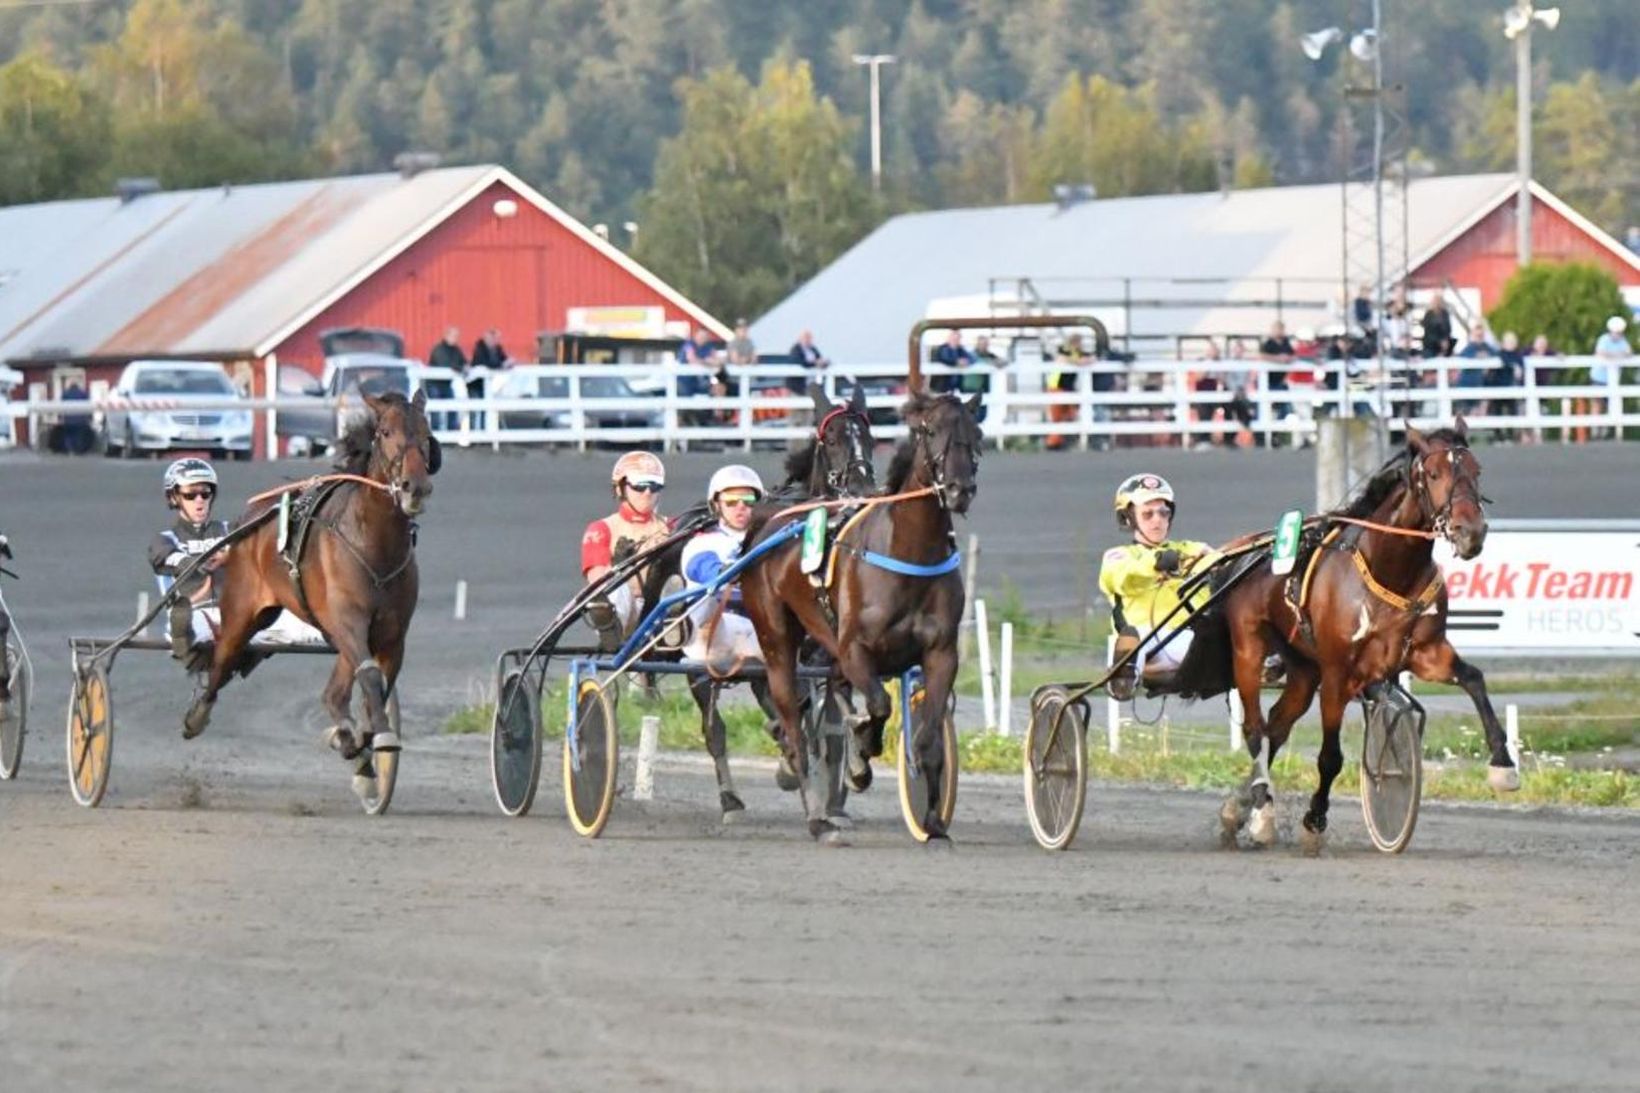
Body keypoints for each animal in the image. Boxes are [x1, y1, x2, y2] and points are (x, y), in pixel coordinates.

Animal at [182, 387, 439, 797]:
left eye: (427, 434)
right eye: (385, 432)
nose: (415, 487)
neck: (373, 544)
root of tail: (252, 516)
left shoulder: (390, 635)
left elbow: (375, 689)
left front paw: (361, 746)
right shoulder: (348, 622)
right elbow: (369, 679)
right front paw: (371, 740)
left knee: (333, 694)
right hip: (242, 612)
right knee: (221, 664)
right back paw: (196, 716)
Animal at [633, 382, 879, 817]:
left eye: (870, 438)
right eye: (833, 440)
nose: (863, 491)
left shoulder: (828, 650)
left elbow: (836, 712)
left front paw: (849, 772)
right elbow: (797, 711)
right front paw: (794, 766)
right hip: (700, 656)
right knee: (714, 727)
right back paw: (731, 797)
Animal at [744, 392, 984, 840]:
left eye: (976, 433)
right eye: (930, 430)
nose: (960, 489)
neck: (909, 551)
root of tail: (769, 523)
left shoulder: (941, 654)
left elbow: (926, 738)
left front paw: (932, 823)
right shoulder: (855, 649)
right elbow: (878, 705)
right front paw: (864, 746)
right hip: (776, 639)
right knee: (793, 723)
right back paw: (817, 817)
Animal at [1174, 418, 1515, 853]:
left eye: (1476, 470)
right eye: (1435, 474)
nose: (1470, 532)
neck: (1390, 569)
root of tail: (1242, 553)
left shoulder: (1427, 653)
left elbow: (1474, 680)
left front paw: (1503, 764)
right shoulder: (1338, 673)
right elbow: (1330, 758)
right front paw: (1314, 820)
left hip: (1304, 668)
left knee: (1276, 726)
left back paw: (1240, 806)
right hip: (1250, 649)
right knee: (1254, 729)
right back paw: (1262, 812)